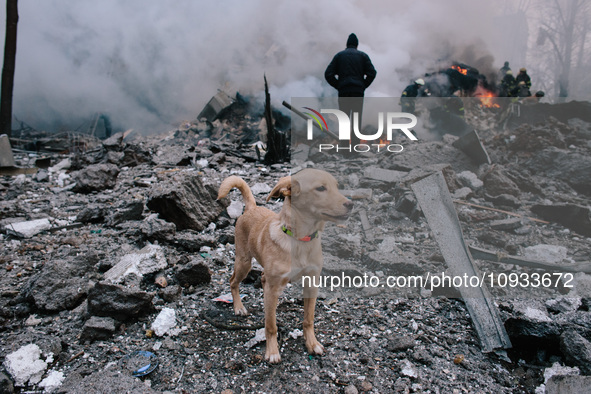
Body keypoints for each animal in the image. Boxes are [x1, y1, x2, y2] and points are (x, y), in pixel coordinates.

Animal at [219, 168, 354, 362]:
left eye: (337, 186)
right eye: (320, 188)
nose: (351, 204)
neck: (300, 240)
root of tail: (252, 207)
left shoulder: (312, 283)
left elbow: (308, 319)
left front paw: (312, 343)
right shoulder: (272, 289)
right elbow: (270, 325)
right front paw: (272, 351)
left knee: (261, 278)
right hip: (243, 262)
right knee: (233, 282)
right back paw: (238, 307)